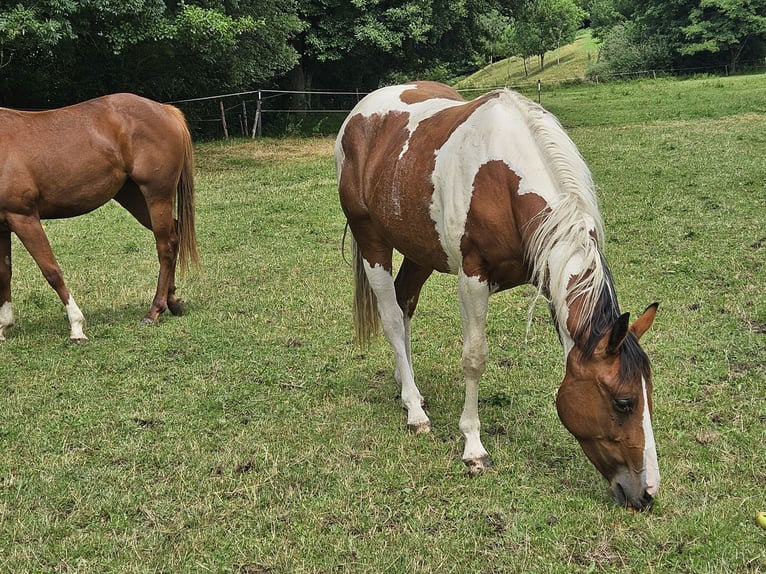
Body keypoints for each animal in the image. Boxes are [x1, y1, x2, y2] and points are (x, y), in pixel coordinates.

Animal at [0, 93, 199, 342]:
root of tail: (165, 110)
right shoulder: (3, 225)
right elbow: (4, 274)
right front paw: (4, 326)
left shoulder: (23, 217)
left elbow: (51, 271)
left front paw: (76, 327)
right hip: (134, 197)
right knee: (174, 234)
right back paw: (172, 301)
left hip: (157, 196)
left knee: (165, 247)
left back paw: (154, 311)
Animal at [335, 81, 660, 510]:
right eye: (624, 402)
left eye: (648, 393)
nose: (647, 493)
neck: (503, 178)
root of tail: (359, 114)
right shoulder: (473, 278)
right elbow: (474, 359)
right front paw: (473, 447)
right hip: (372, 241)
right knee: (391, 317)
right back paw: (414, 411)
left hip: (420, 249)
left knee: (404, 306)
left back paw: (409, 389)